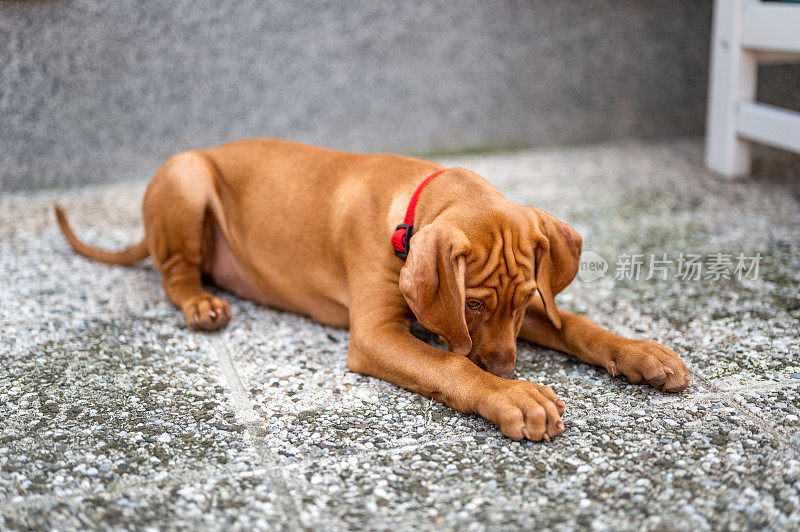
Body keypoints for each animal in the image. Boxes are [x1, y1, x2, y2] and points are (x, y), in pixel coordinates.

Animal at [57, 137, 692, 440]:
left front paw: (642, 354)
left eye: (526, 300)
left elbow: (575, 323)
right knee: (174, 274)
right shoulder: (377, 335)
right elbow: (450, 364)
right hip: (186, 176)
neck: (409, 206)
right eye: (472, 303)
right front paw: (513, 396)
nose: (505, 368)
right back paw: (201, 304)